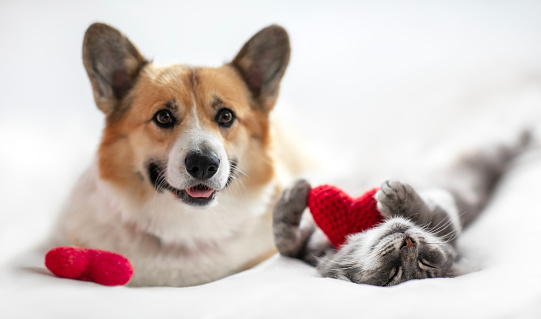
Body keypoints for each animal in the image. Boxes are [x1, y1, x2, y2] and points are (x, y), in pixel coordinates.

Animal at [272, 138, 524, 288]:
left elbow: (425, 212)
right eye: (394, 274)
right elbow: (285, 242)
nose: (409, 244)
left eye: (425, 263)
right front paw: (293, 193)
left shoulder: (446, 210)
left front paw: (398, 198)